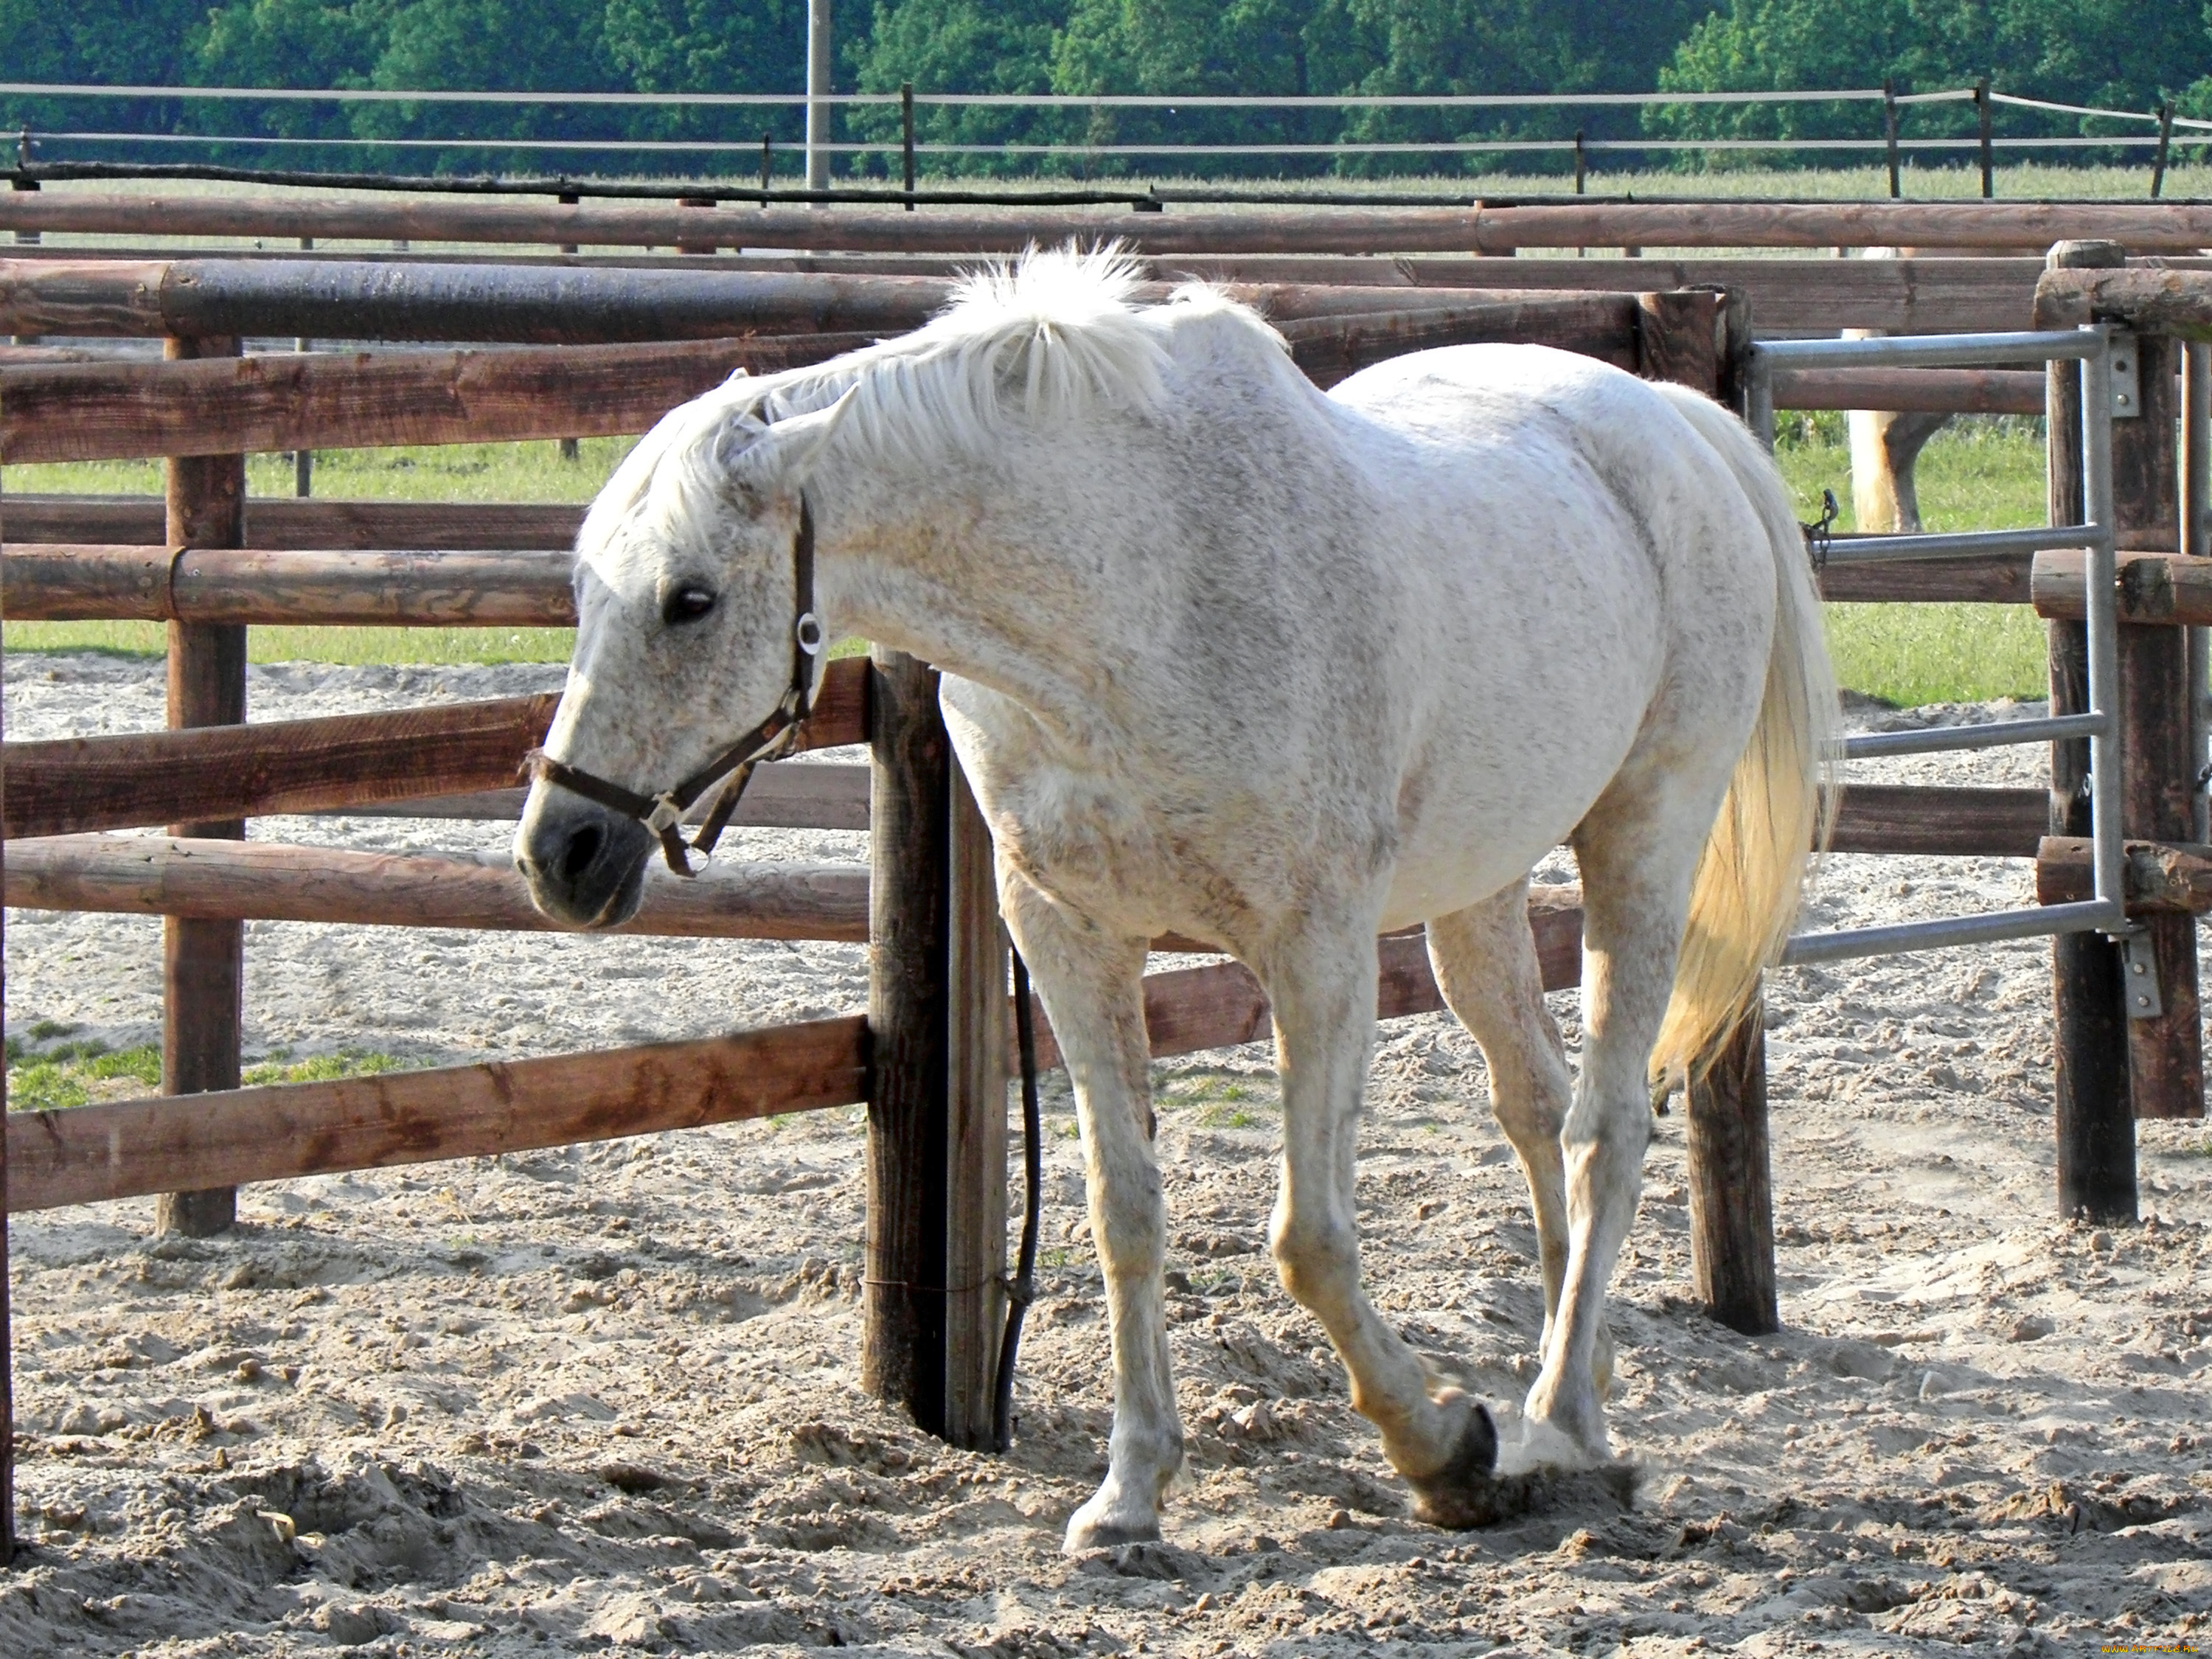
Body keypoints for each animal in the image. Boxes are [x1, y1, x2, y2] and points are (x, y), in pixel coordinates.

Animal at [513, 250, 1832, 1557]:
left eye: (689, 599)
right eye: (580, 586)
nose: (561, 852)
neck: (1131, 594)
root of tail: (1669, 419)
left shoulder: (1316, 950)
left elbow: (1309, 1240)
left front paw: (1446, 1453)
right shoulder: (1069, 936)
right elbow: (1125, 1211)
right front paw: (1130, 1492)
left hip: (1643, 843)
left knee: (1603, 1128)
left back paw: (1551, 1422)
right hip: (1479, 892)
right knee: (1537, 1109)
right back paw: (1584, 1404)